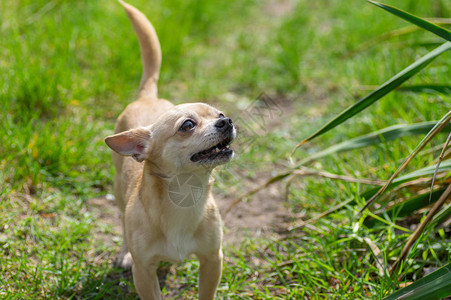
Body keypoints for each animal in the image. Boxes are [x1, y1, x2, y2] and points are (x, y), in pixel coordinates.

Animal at [103, 1, 235, 298]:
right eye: (188, 125)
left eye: (220, 114)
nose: (227, 121)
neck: (186, 197)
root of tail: (147, 96)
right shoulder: (144, 272)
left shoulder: (212, 260)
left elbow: (206, 293)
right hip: (119, 193)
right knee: (122, 222)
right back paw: (124, 252)